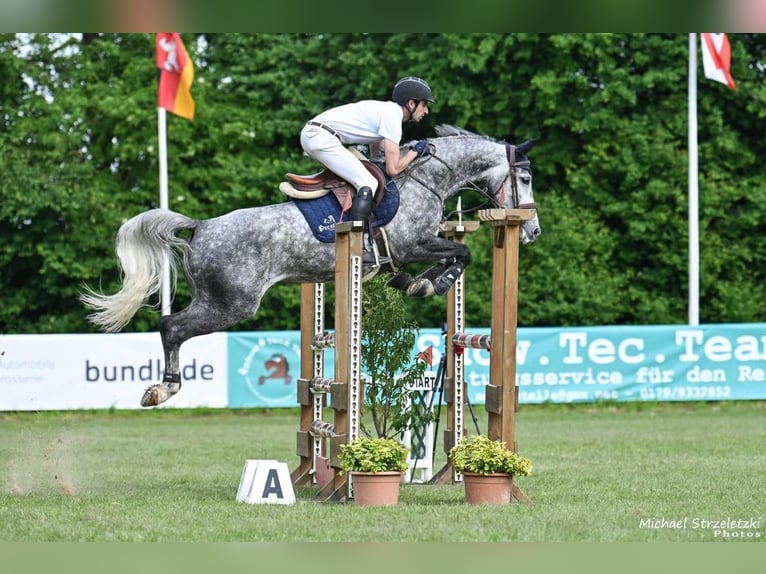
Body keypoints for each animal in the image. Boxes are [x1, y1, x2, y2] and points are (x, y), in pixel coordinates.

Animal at [82, 124, 540, 408]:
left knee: (172, 327)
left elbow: (443, 258)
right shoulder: (412, 244)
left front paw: (415, 284)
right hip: (231, 304)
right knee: (171, 327)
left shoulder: (407, 250)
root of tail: (201, 226)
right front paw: (432, 284)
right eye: (527, 179)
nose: (533, 231)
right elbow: (461, 255)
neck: (426, 181)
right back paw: (163, 389)